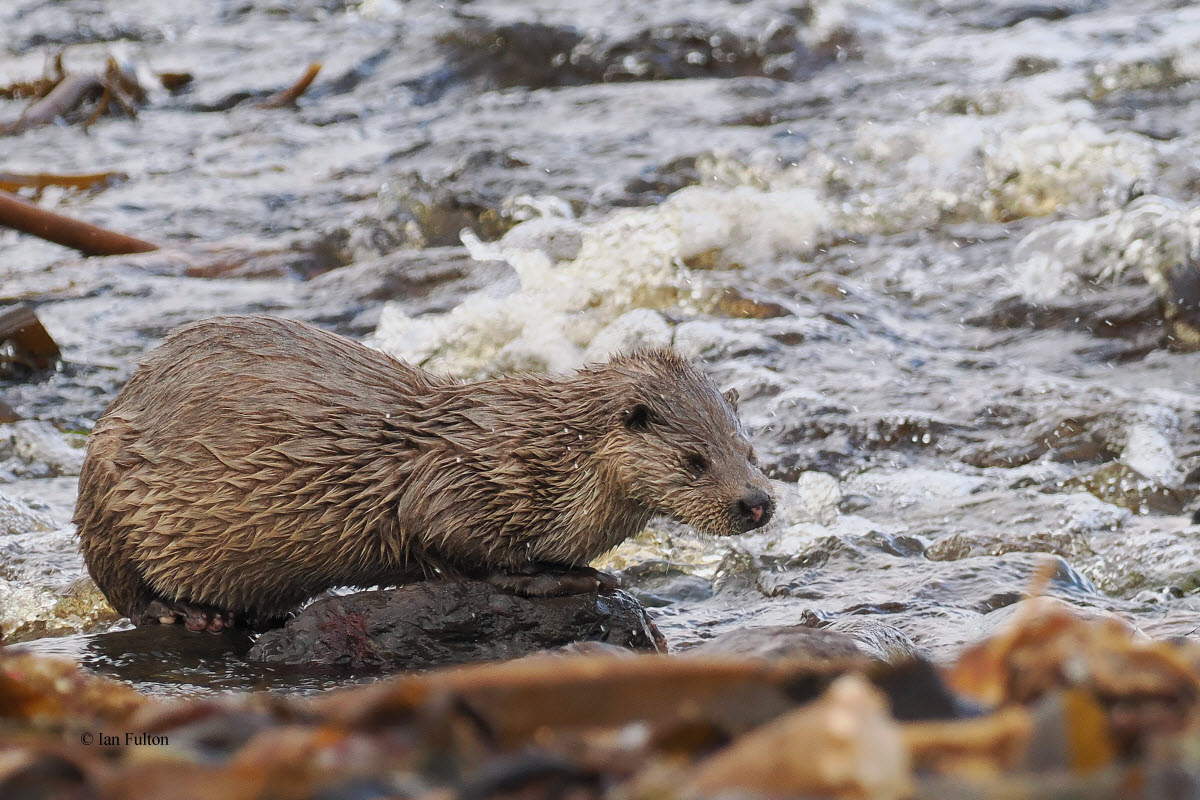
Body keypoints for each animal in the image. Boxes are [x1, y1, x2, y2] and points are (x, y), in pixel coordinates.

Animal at [72, 311, 777, 633]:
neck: (549, 455)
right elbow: (449, 544)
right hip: (104, 485)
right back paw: (184, 614)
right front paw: (560, 578)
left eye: (750, 452)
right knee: (122, 590)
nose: (757, 503)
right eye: (695, 460)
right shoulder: (453, 477)